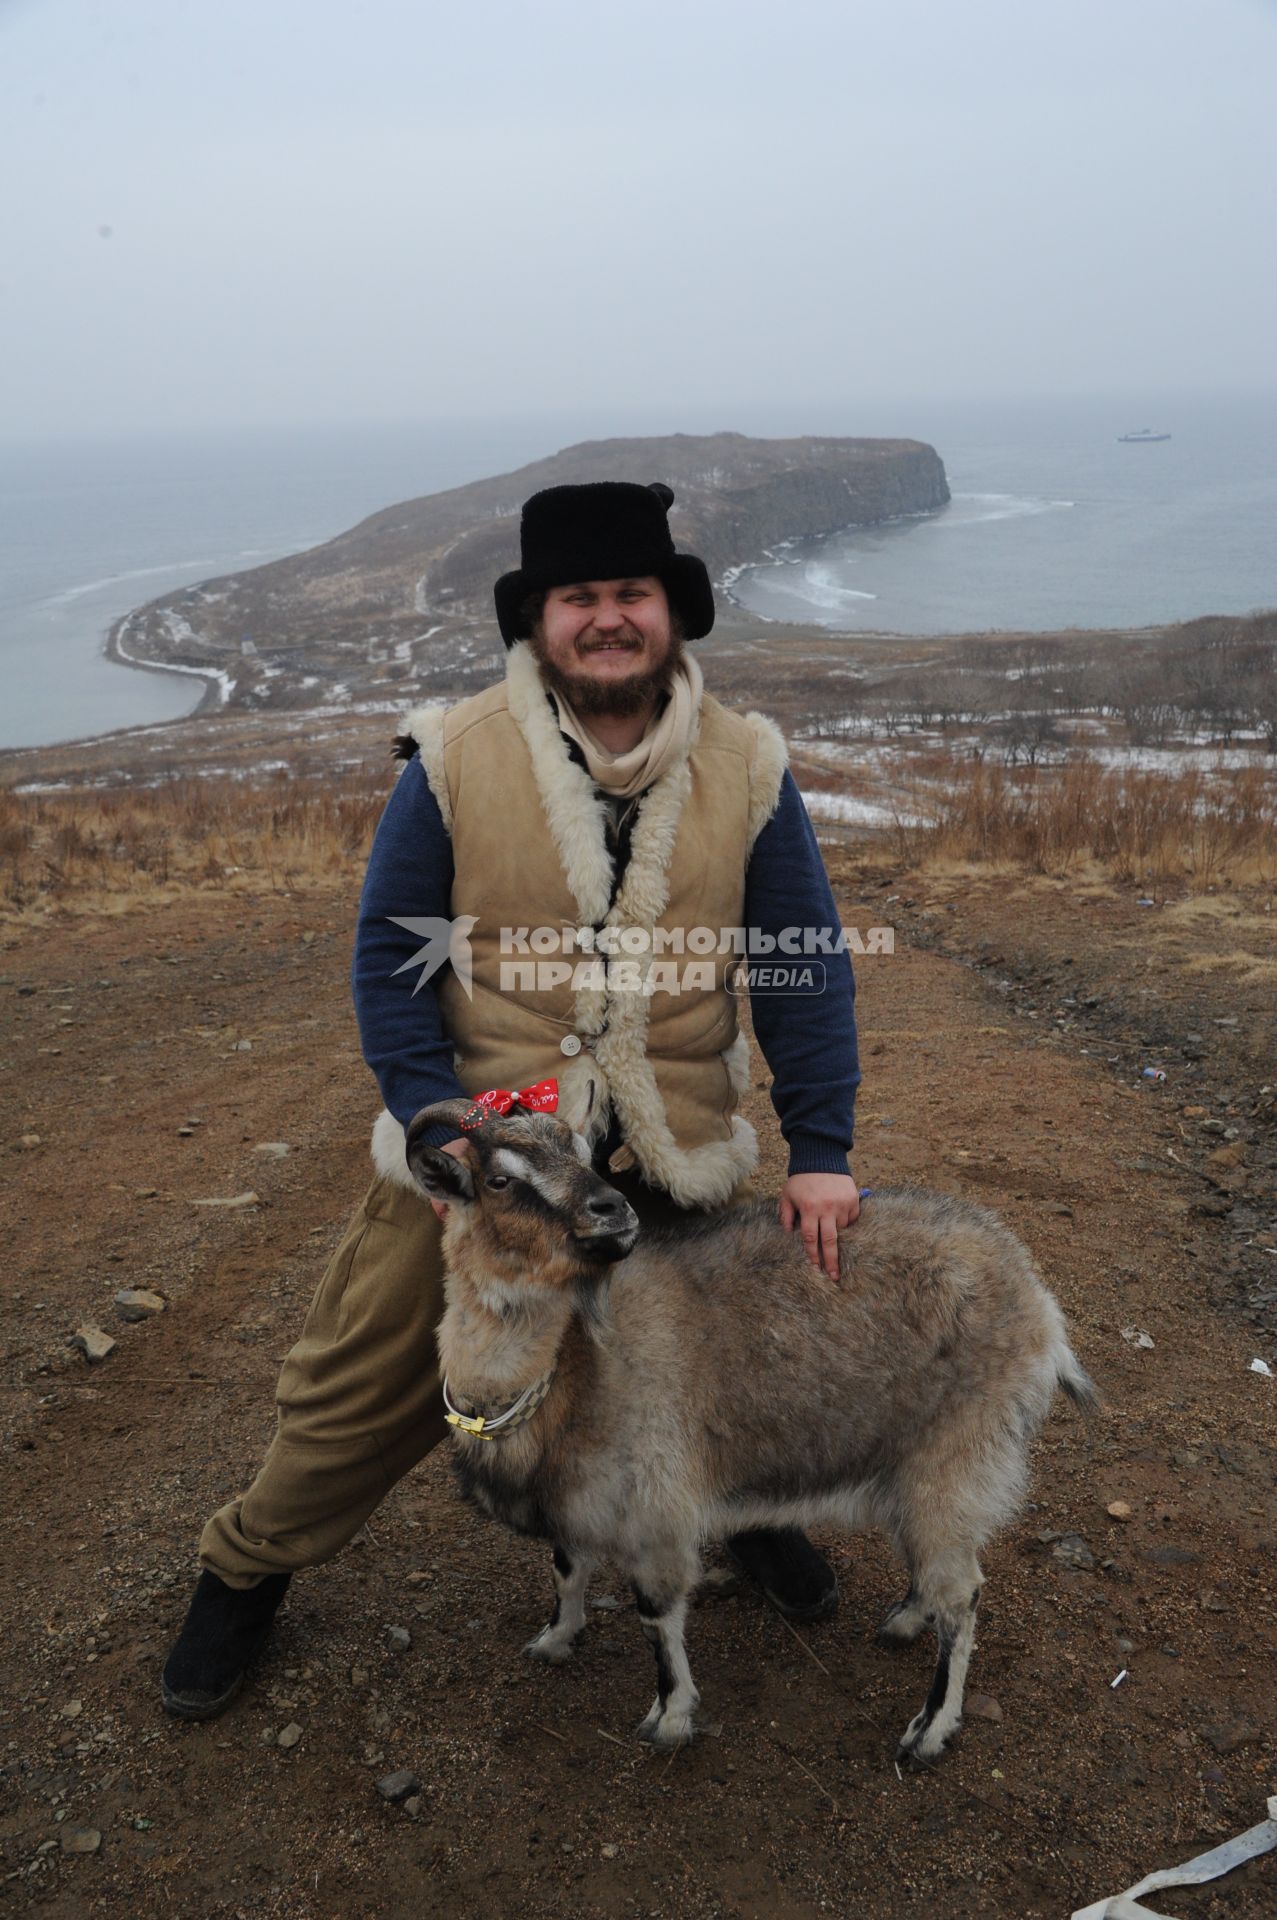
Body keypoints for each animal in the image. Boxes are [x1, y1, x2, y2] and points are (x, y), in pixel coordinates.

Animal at [403, 1090, 1090, 1758]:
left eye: (585, 1154)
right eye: (498, 1180)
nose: (612, 1210)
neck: (576, 1368)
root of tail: (1036, 1299)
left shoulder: (654, 1509)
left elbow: (656, 1614)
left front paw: (670, 1717)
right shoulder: (581, 1497)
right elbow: (566, 1569)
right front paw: (554, 1639)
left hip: (960, 1456)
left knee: (963, 1595)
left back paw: (930, 1729)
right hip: (915, 1465)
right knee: (931, 1565)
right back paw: (903, 1621)